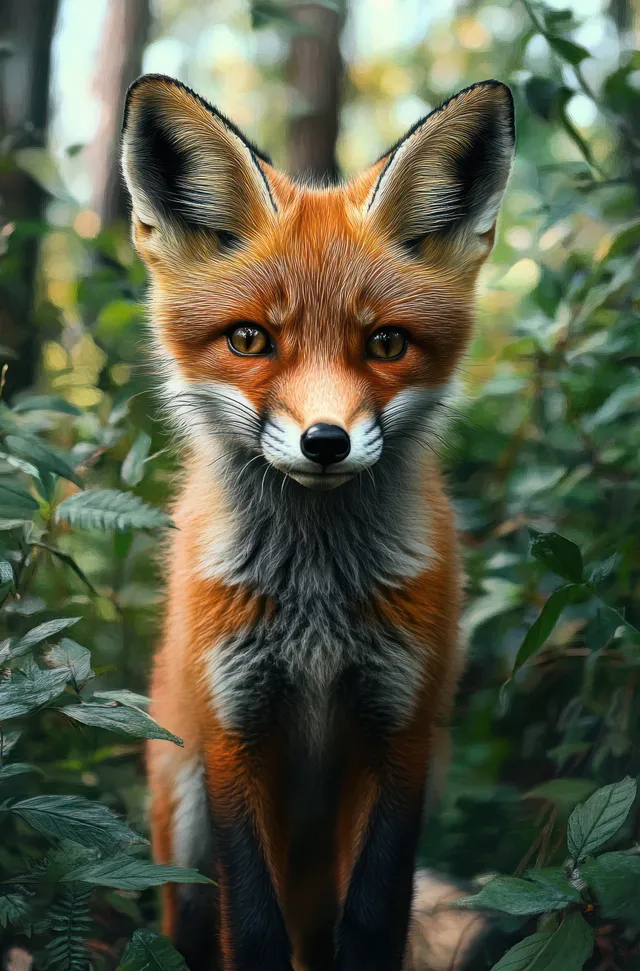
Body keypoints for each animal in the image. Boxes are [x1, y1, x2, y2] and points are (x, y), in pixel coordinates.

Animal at [120, 73, 515, 971]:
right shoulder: (234, 729)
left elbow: (372, 920)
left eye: (387, 344)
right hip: (180, 818)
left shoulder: (401, 725)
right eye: (249, 339)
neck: (316, 603)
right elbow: (252, 929)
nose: (326, 442)